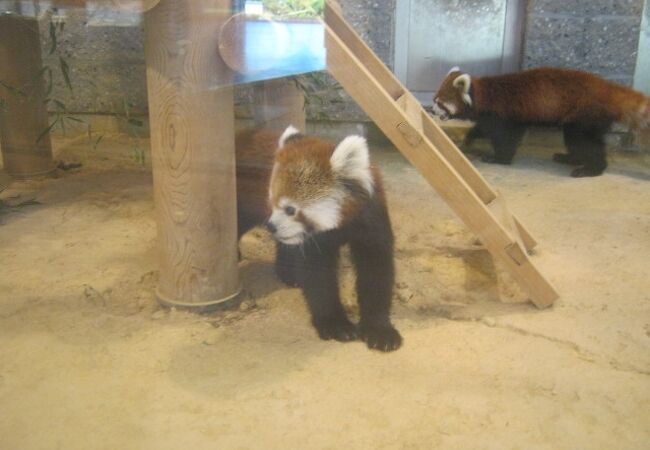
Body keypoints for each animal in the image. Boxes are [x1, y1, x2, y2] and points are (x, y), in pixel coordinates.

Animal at [233, 125, 400, 352]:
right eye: (271, 203)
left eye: (290, 209)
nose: (271, 226)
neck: (342, 224)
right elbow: (318, 276)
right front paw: (335, 324)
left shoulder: (372, 220)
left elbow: (376, 271)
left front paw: (379, 329)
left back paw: (289, 275)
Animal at [430, 66, 648, 177]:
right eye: (434, 100)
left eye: (440, 103)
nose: (431, 110)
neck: (484, 95)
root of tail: (607, 88)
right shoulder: (490, 117)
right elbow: (481, 128)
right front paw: (469, 139)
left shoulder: (504, 116)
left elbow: (506, 139)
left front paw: (498, 158)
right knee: (578, 142)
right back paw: (570, 158)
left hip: (585, 115)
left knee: (585, 143)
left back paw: (591, 169)